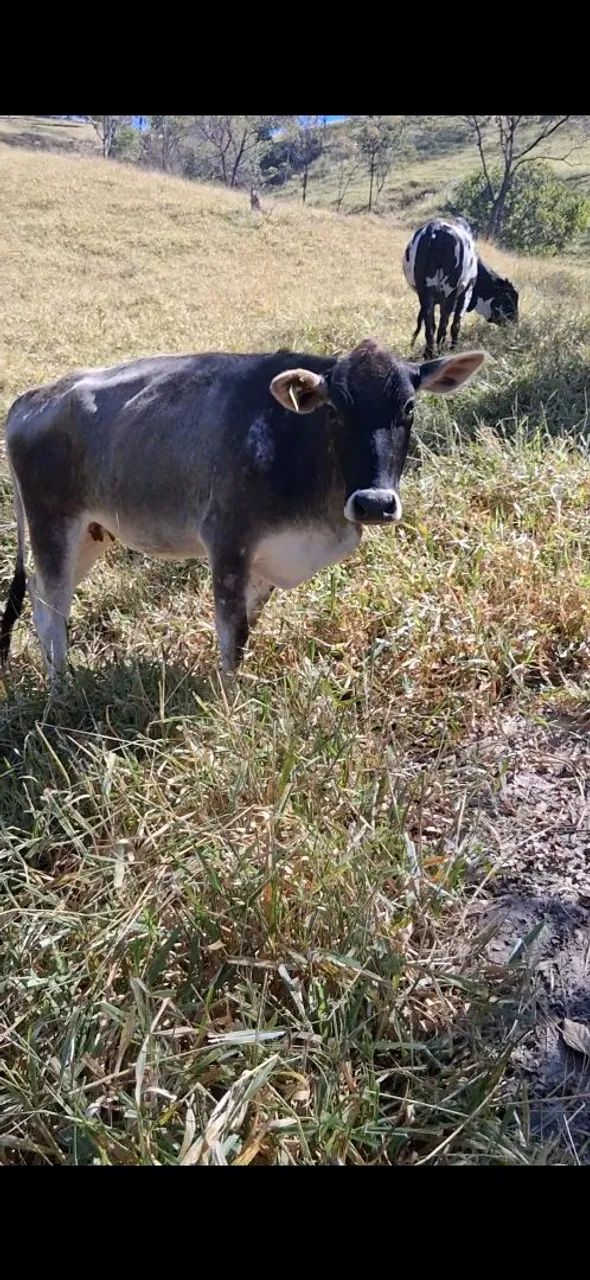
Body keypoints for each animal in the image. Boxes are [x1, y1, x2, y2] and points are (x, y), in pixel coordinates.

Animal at [0, 340, 485, 681]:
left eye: (409, 406)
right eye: (334, 410)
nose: (374, 503)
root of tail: (31, 398)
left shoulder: (265, 562)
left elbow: (246, 635)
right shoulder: (228, 543)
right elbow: (231, 641)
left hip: (89, 533)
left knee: (43, 604)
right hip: (52, 526)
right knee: (51, 610)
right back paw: (61, 689)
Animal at [403, 218, 519, 359]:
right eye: (509, 302)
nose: (515, 324)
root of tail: (435, 229)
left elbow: (422, 322)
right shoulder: (466, 293)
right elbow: (456, 325)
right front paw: (454, 348)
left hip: (425, 291)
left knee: (431, 326)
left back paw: (430, 353)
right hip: (449, 293)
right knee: (443, 325)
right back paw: (440, 352)